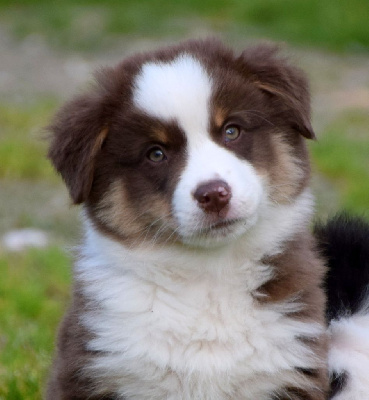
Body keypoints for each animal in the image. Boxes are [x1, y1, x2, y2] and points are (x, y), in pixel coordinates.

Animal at [46, 39, 368, 398]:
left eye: (232, 131)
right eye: (156, 153)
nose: (214, 194)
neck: (209, 275)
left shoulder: (293, 369)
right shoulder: (91, 370)